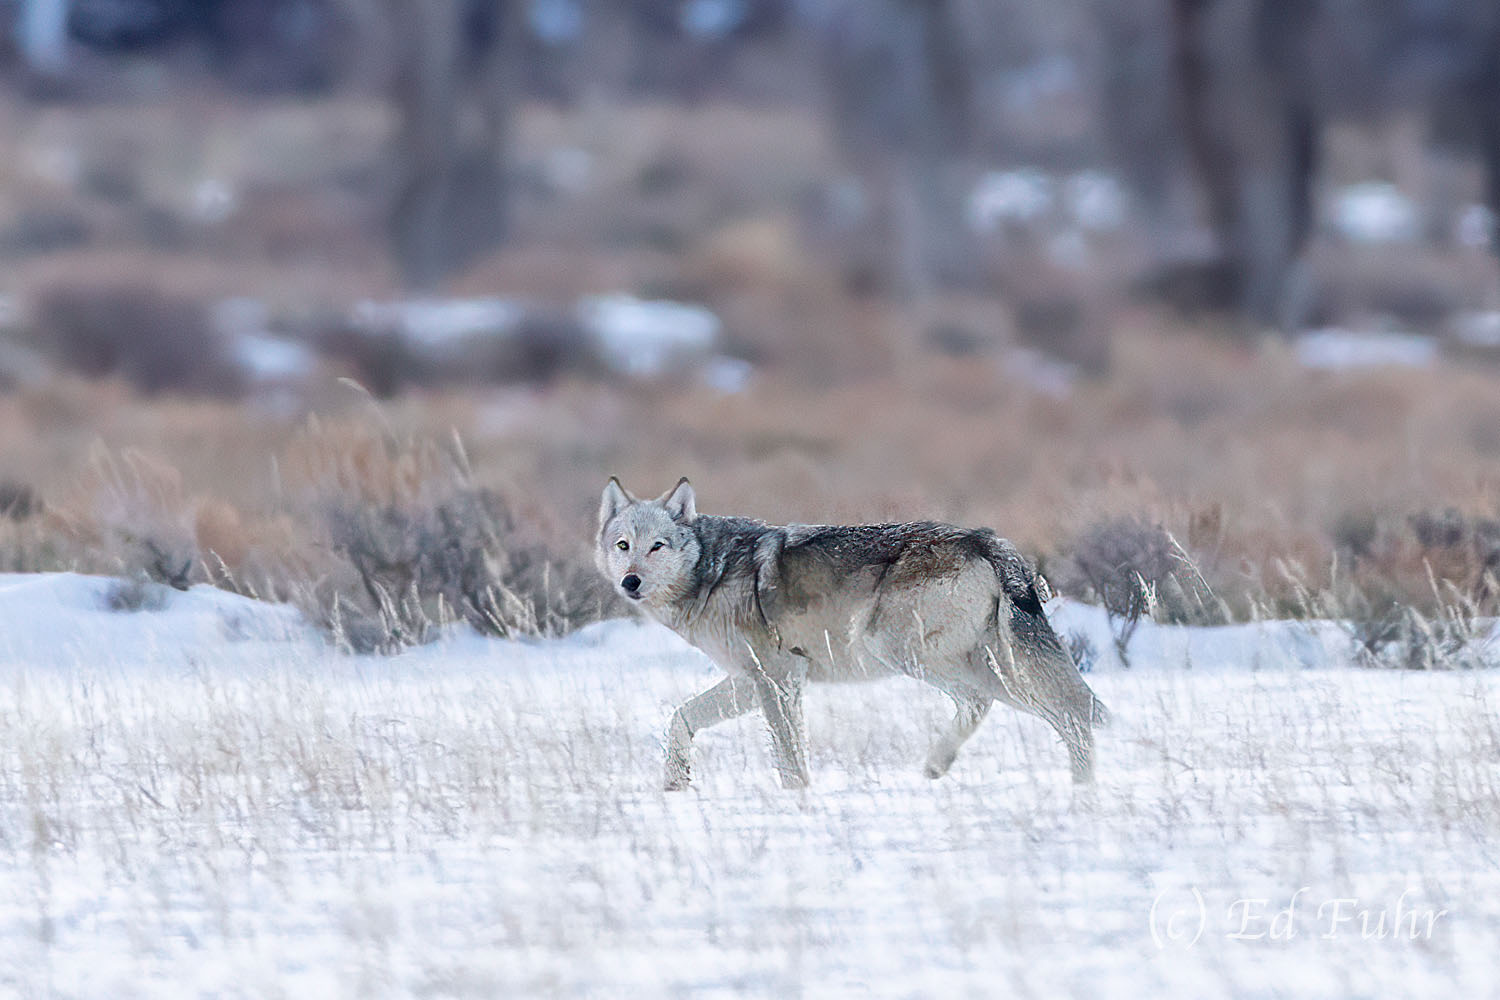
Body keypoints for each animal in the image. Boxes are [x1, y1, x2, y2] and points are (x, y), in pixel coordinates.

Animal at [596, 477, 1108, 790]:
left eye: (657, 546)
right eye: (623, 546)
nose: (631, 582)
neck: (712, 573)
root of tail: (985, 539)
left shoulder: (779, 678)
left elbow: (790, 759)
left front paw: (796, 804)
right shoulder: (751, 680)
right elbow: (680, 719)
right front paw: (674, 786)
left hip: (907, 652)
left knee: (1035, 708)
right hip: (978, 663)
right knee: (1052, 712)